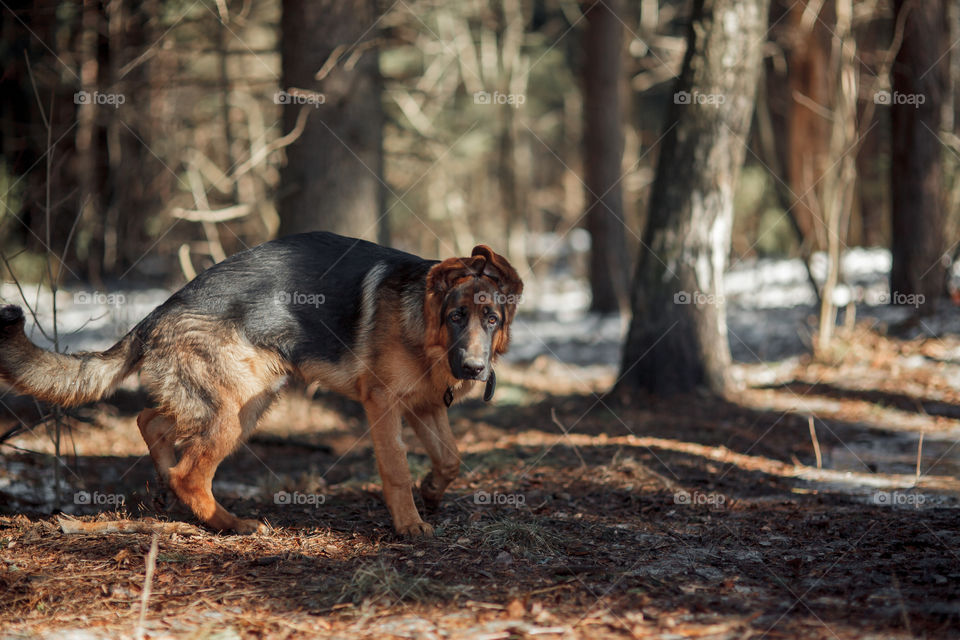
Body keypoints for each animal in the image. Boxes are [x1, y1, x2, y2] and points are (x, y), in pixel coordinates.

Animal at [0, 232, 524, 536]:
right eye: (456, 316)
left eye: (491, 319)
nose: (473, 368)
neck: (424, 325)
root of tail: (157, 314)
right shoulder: (383, 405)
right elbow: (395, 467)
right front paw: (410, 524)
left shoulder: (426, 406)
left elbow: (450, 459)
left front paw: (431, 493)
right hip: (239, 407)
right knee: (190, 469)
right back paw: (229, 523)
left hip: (240, 398)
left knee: (152, 422)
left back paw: (172, 491)